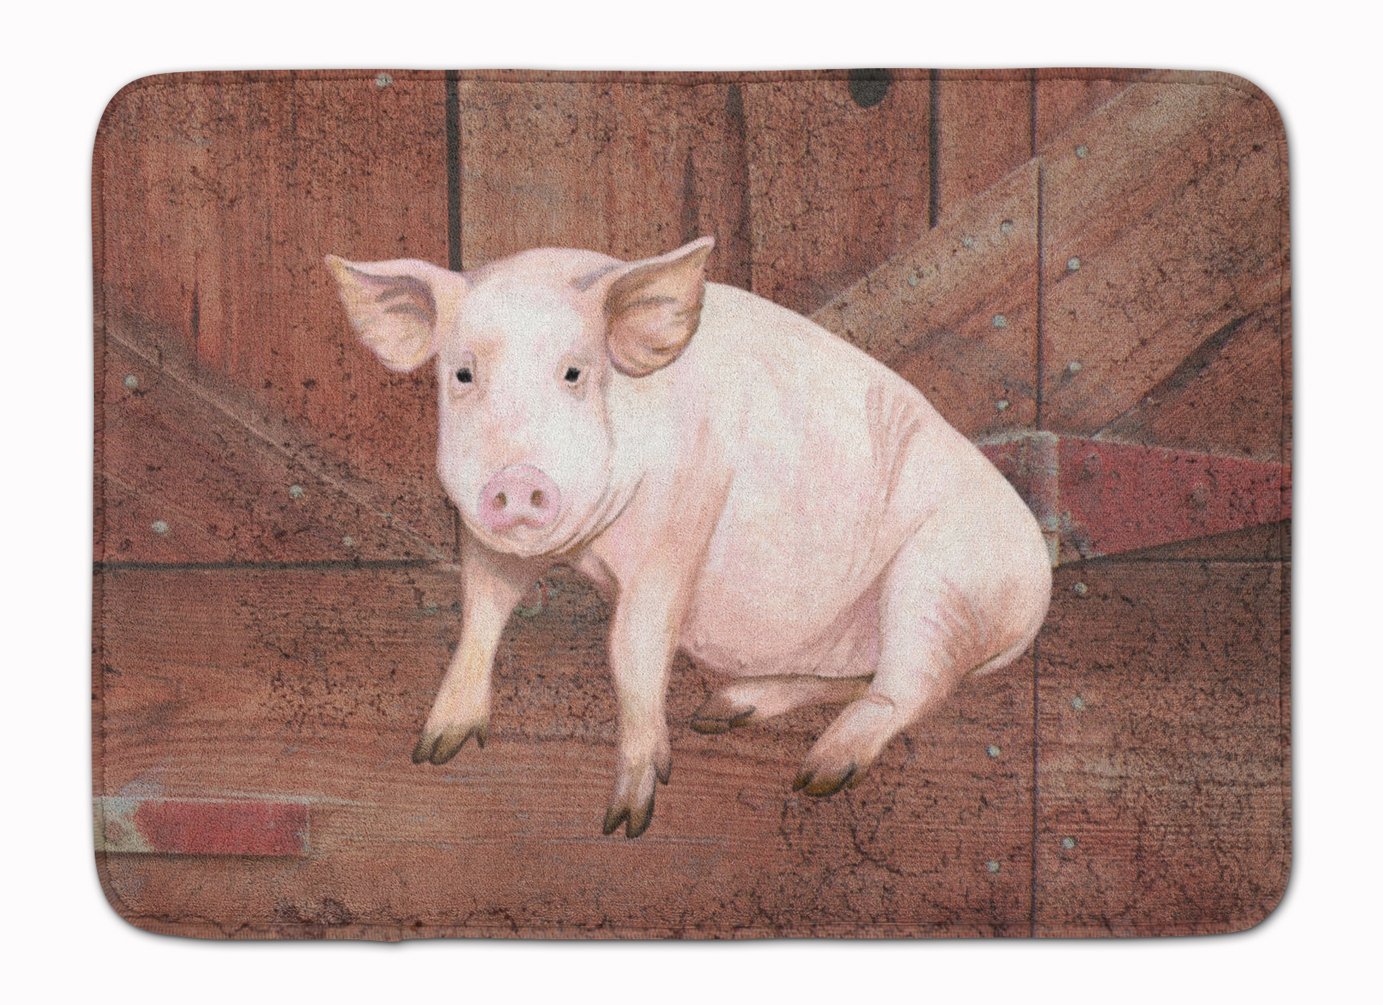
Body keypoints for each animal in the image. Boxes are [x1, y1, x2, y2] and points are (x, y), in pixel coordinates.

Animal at [325, 236, 1052, 838]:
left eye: (574, 373)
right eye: (463, 374)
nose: (518, 480)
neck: (584, 552)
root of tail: (1039, 585)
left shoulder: (681, 520)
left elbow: (633, 647)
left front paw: (626, 820)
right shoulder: (486, 537)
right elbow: (482, 611)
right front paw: (432, 748)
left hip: (943, 581)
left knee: (912, 686)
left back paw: (817, 774)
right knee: (865, 678)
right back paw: (725, 710)